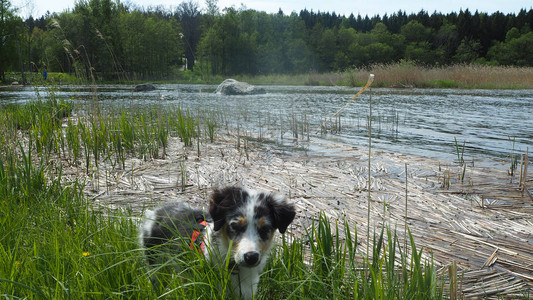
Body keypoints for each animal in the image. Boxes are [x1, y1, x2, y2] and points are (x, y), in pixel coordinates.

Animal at [139, 186, 296, 298]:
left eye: (265, 229)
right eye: (235, 226)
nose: (251, 257)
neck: (233, 267)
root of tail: (157, 212)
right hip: (156, 265)